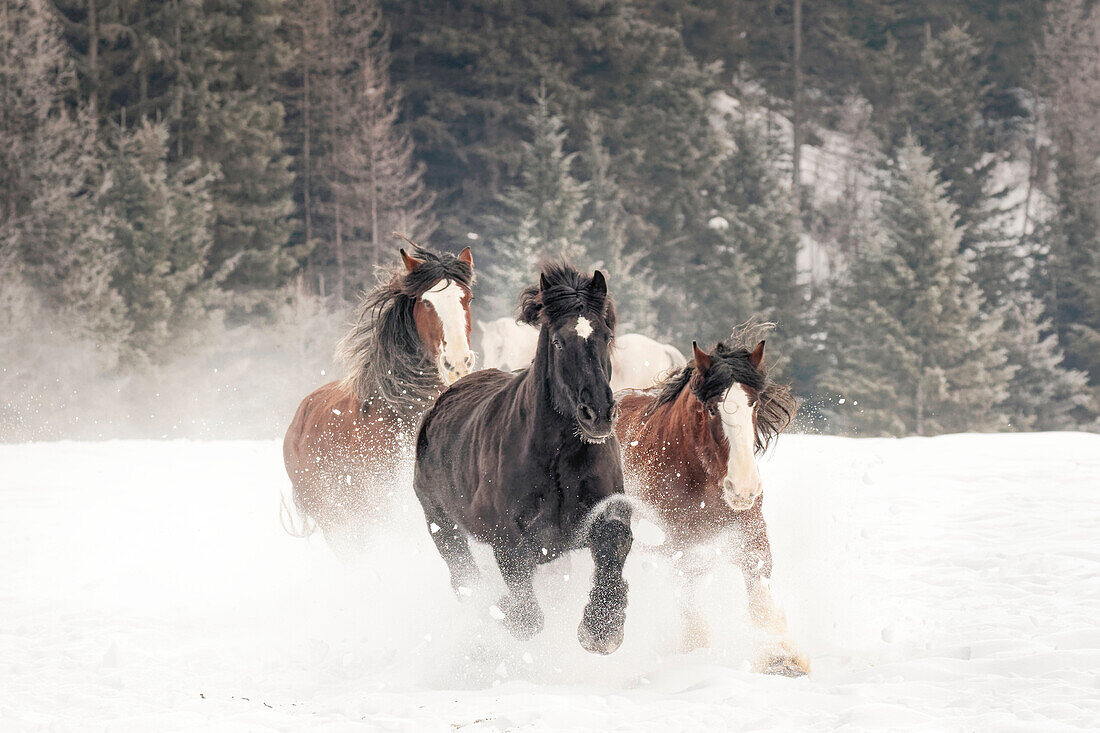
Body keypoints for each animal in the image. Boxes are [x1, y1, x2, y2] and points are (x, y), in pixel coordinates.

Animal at [413, 260, 638, 651]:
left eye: (606, 336)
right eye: (558, 341)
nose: (597, 414)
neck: (559, 457)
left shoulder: (601, 510)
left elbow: (614, 539)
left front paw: (602, 627)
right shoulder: (508, 538)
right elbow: (527, 615)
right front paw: (504, 613)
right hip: (441, 523)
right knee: (464, 577)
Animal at [611, 325, 809, 673]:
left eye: (754, 404)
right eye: (712, 408)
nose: (743, 487)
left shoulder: (751, 532)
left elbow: (760, 595)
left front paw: (781, 659)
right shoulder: (676, 545)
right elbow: (690, 609)